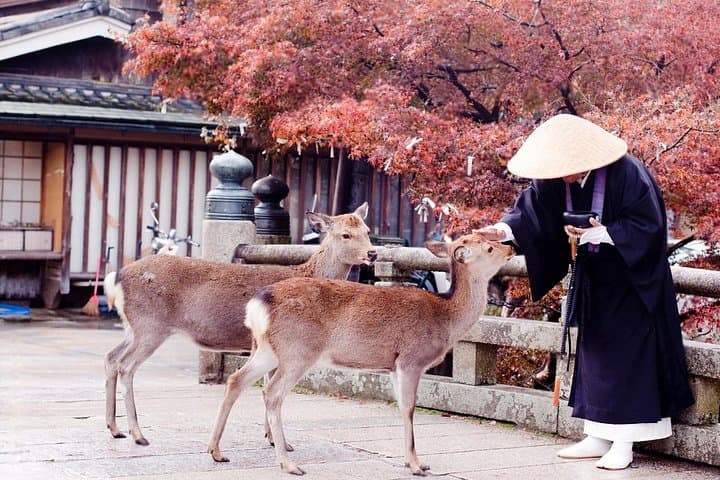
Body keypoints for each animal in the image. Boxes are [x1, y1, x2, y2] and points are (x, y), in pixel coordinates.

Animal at [103, 203, 376, 448]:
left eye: (367, 230)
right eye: (345, 234)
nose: (373, 253)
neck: (308, 272)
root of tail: (117, 278)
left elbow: (265, 383)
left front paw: (270, 437)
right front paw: (279, 442)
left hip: (133, 326)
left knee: (111, 357)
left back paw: (115, 428)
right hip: (150, 326)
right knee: (126, 366)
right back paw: (138, 434)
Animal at [206, 232, 514, 476]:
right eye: (488, 248)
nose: (510, 247)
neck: (447, 317)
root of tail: (257, 305)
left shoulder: (393, 366)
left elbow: (401, 407)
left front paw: (415, 462)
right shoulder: (411, 359)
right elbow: (409, 407)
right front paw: (416, 465)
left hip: (268, 349)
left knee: (236, 379)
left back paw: (216, 451)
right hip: (298, 351)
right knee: (271, 392)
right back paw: (289, 464)